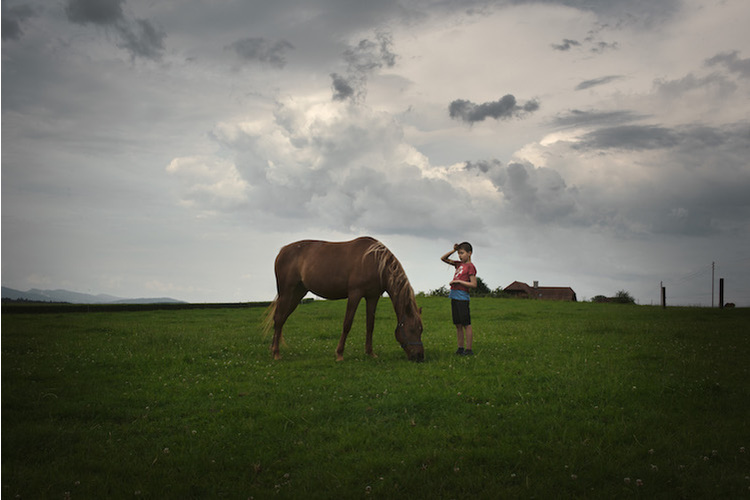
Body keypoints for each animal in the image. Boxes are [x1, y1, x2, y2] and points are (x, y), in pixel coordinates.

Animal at [268, 236, 424, 362]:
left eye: (421, 330)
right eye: (411, 330)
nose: (420, 357)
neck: (375, 261)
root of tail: (282, 251)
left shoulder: (372, 297)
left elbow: (370, 325)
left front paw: (370, 353)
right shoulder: (355, 294)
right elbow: (347, 324)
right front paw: (339, 354)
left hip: (297, 294)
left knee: (281, 319)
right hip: (287, 292)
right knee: (279, 318)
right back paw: (276, 353)